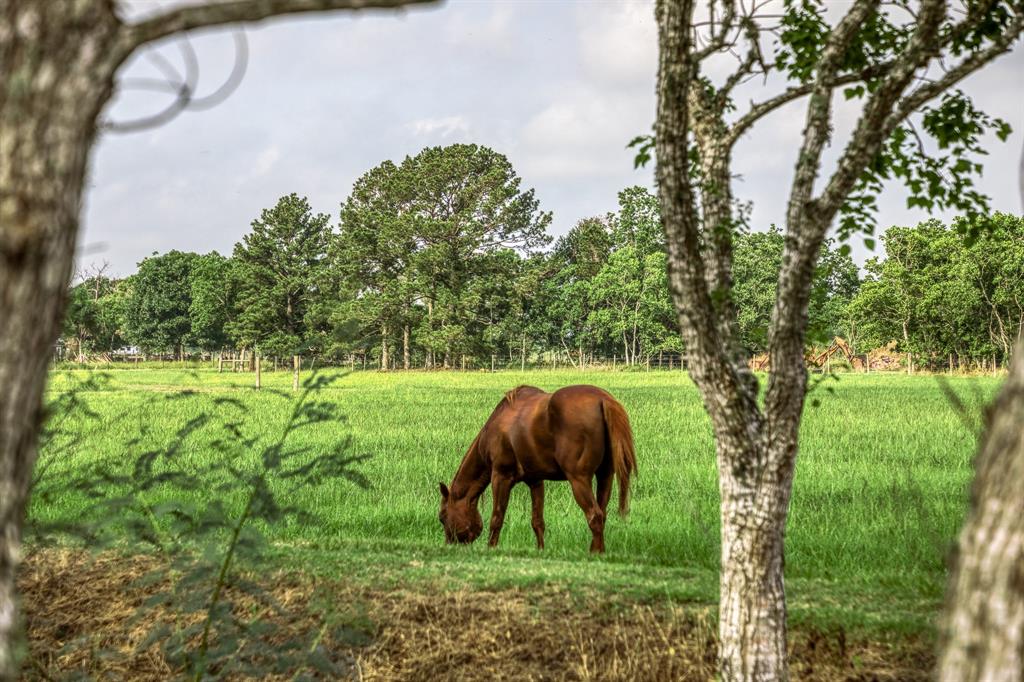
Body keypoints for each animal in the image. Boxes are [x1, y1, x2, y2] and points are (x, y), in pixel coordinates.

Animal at [438, 382, 634, 552]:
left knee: (595, 516)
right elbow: (537, 521)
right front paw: (541, 550)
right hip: (605, 475)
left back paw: (595, 553)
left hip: (579, 479)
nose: (448, 545)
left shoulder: (500, 476)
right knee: (602, 513)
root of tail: (604, 400)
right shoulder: (536, 480)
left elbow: (497, 517)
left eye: (442, 517)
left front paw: (491, 548)